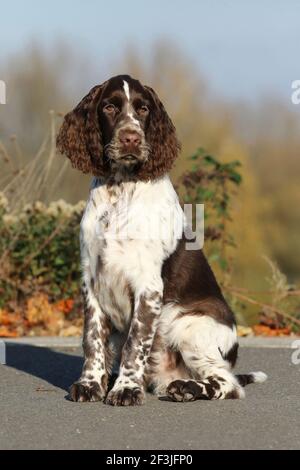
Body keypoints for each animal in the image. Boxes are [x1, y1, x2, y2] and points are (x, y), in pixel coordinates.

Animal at [56, 75, 268, 406]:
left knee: (228, 383)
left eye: (143, 109)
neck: (121, 189)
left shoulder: (148, 285)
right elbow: (92, 338)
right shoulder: (91, 278)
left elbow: (135, 343)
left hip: (190, 326)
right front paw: (91, 384)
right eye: (109, 107)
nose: (131, 138)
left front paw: (126, 389)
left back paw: (186, 388)